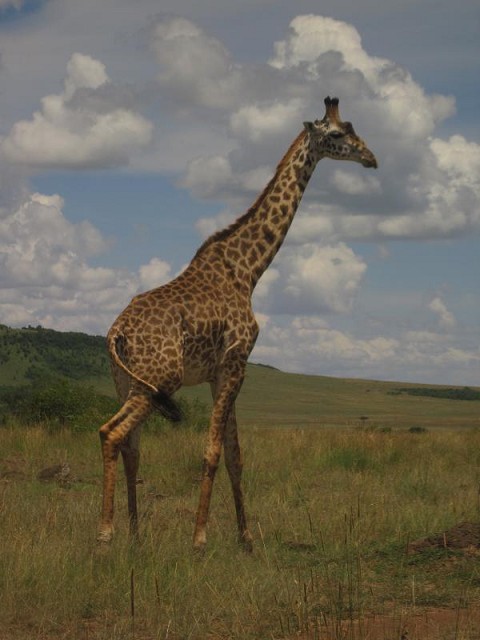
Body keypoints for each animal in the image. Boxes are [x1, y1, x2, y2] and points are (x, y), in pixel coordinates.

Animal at [98, 97, 377, 551]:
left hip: (128, 381)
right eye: (337, 134)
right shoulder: (236, 363)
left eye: (353, 127)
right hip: (159, 378)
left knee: (131, 446)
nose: (371, 158)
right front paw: (200, 538)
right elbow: (212, 451)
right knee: (112, 433)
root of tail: (115, 333)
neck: (248, 270)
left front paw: (245, 539)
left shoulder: (219, 373)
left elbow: (235, 454)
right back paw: (105, 533)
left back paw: (136, 535)